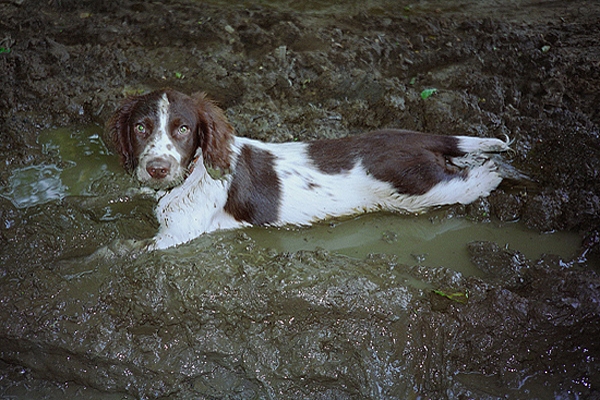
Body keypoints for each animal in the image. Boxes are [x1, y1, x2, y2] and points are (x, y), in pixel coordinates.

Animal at [105, 89, 508, 248]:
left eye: (183, 129)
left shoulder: (177, 235)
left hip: (418, 188)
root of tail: (417, 136)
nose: (157, 168)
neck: (192, 173)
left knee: (465, 181)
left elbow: (119, 251)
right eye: (140, 128)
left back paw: (492, 171)